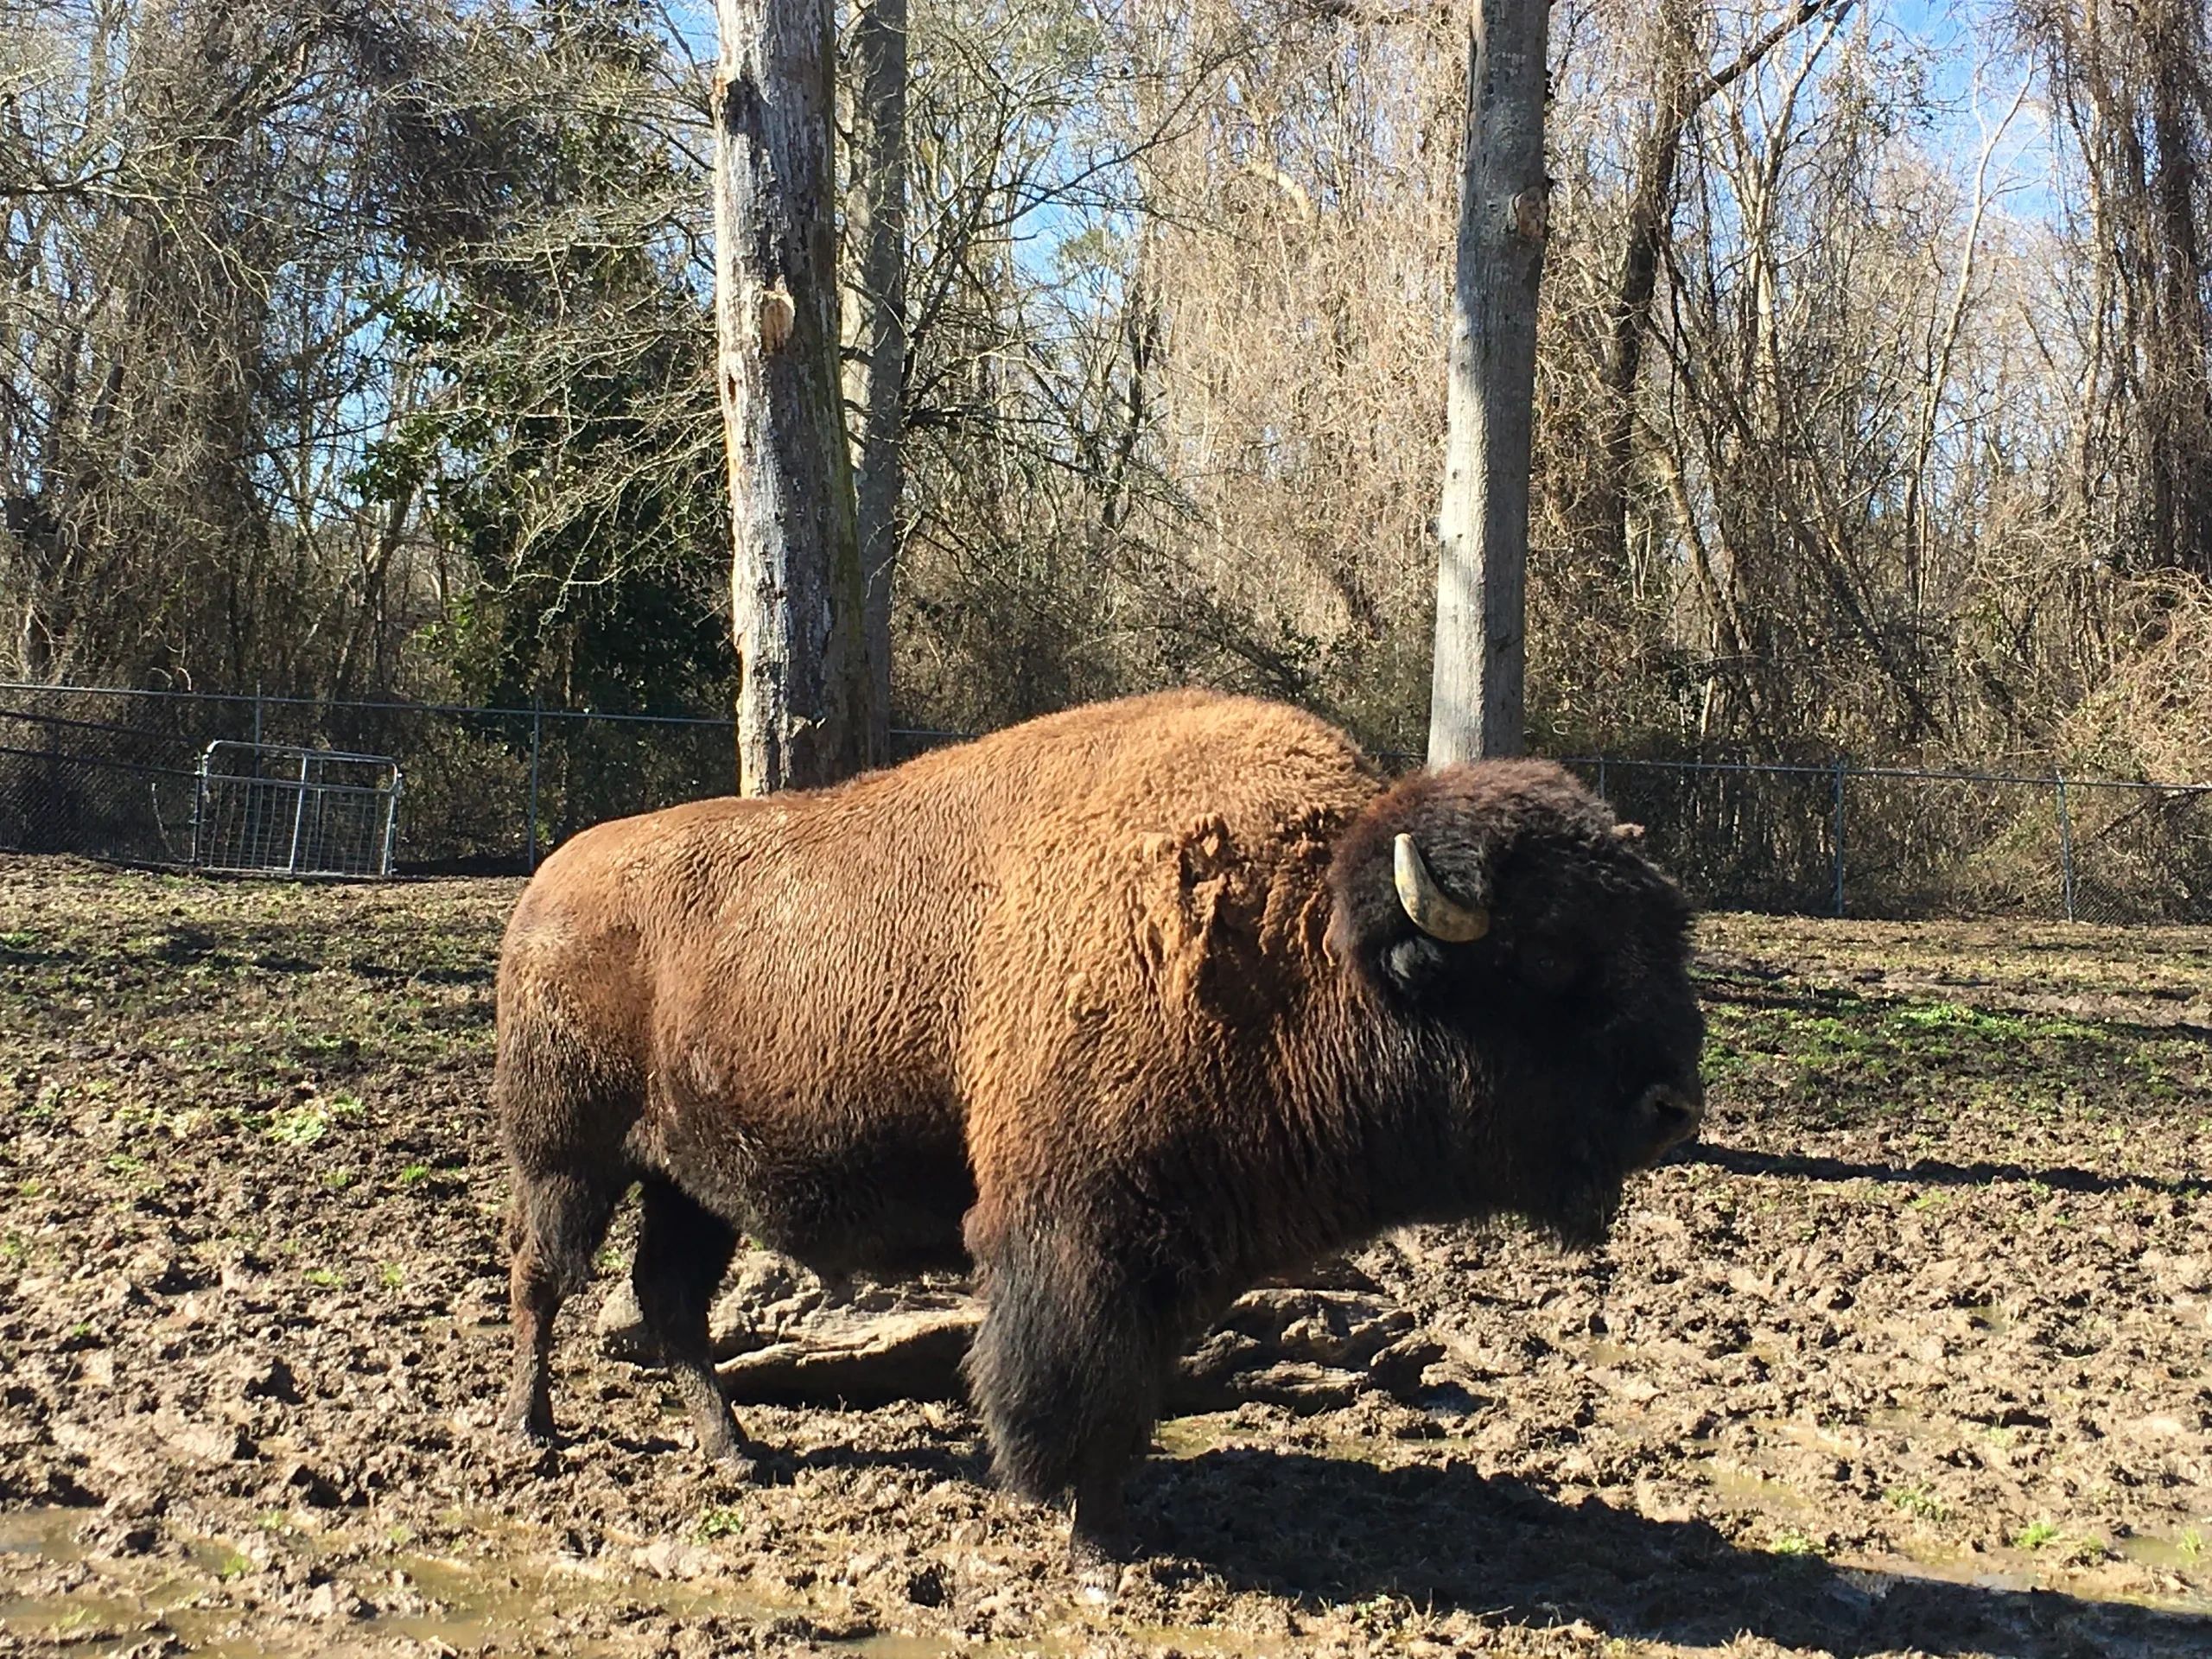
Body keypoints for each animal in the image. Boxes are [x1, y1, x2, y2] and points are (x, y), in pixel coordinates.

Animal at [494, 690, 1704, 1561]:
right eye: (1547, 958)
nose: (1674, 1108)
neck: (1300, 939)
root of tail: (547, 886)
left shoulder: (1174, 1255)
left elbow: (1131, 1395)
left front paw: (1119, 1519)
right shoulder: (1074, 1237)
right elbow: (1065, 1384)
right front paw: (1080, 1533)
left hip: (688, 1181)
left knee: (669, 1301)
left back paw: (738, 1453)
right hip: (569, 1156)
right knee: (542, 1276)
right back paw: (532, 1429)